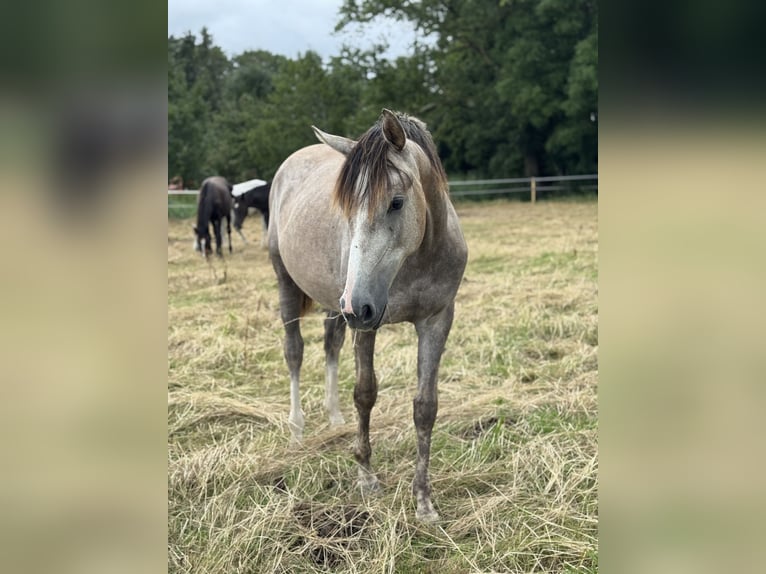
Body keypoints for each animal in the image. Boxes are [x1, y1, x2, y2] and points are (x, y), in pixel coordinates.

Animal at [268, 109, 468, 522]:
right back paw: (297, 429)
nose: (355, 305)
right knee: (294, 352)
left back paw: (334, 417)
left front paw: (423, 501)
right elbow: (365, 393)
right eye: (346, 209)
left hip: (336, 304)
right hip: (293, 285)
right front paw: (366, 476)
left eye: (396, 202)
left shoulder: (437, 320)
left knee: (330, 346)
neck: (417, 259)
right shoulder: (367, 324)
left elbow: (425, 407)